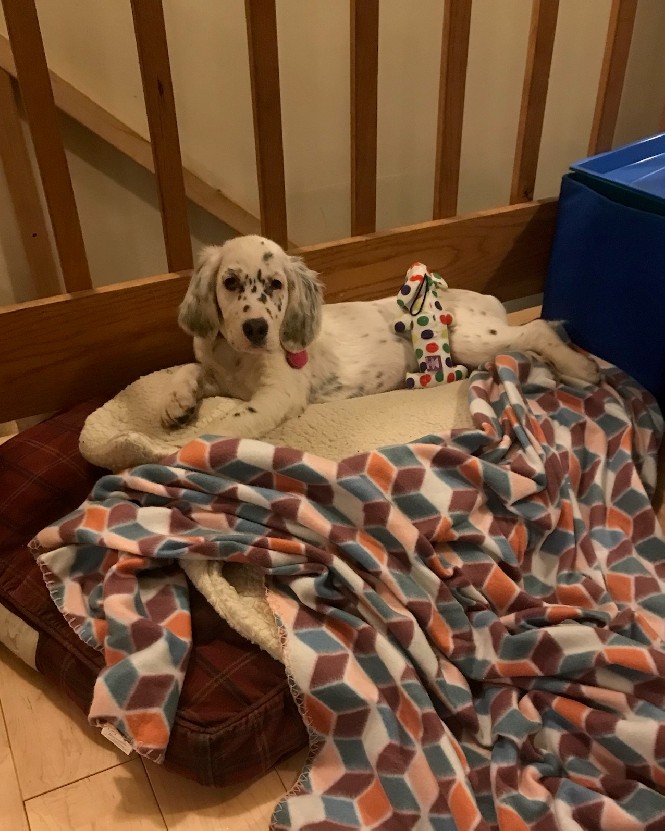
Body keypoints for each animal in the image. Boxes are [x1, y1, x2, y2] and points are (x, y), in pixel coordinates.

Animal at [160, 234, 599, 437]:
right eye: (230, 282)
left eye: (276, 285)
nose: (256, 328)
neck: (236, 356)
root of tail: (489, 297)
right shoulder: (219, 373)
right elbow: (188, 369)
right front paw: (176, 403)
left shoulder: (279, 393)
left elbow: (228, 425)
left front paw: (187, 448)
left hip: (469, 339)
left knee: (537, 328)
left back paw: (582, 367)